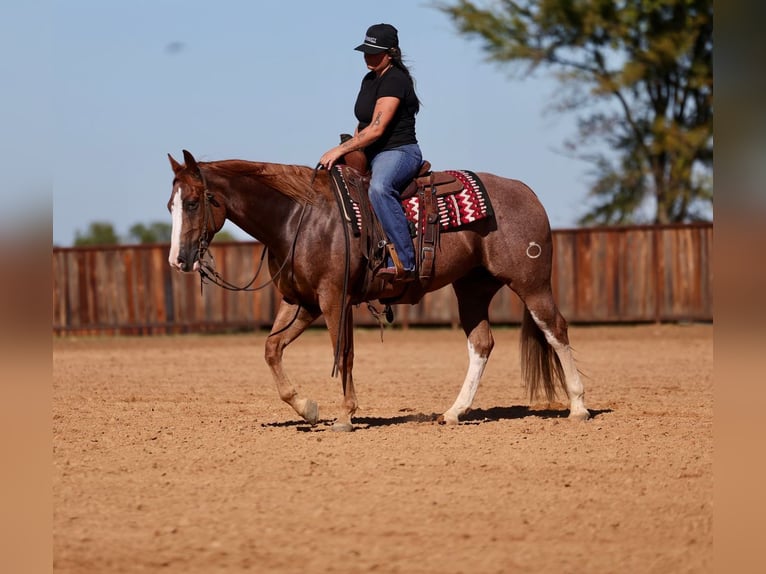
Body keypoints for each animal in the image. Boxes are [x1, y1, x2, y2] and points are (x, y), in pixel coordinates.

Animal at [166, 149, 589, 431]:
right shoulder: (300, 301)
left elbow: (344, 355)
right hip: (473, 288)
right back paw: (453, 412)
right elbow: (272, 349)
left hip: (531, 283)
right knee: (482, 343)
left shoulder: (332, 299)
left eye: (192, 202)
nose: (178, 259)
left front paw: (346, 415)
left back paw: (578, 407)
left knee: (556, 329)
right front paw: (308, 407)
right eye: (171, 204)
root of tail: (528, 193)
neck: (297, 217)